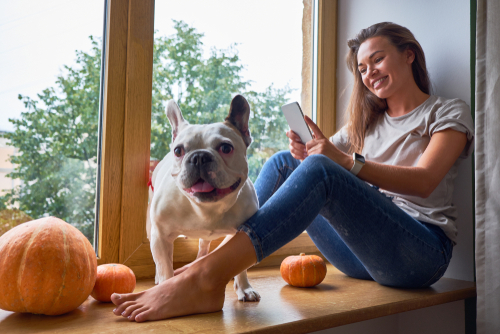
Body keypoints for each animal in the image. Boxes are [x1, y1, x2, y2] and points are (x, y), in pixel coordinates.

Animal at [146, 94, 260, 302]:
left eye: (226, 148)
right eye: (178, 151)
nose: (199, 157)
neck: (206, 210)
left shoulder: (242, 233)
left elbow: (241, 266)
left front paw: (244, 287)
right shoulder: (160, 236)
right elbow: (165, 267)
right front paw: (165, 290)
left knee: (203, 245)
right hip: (151, 230)